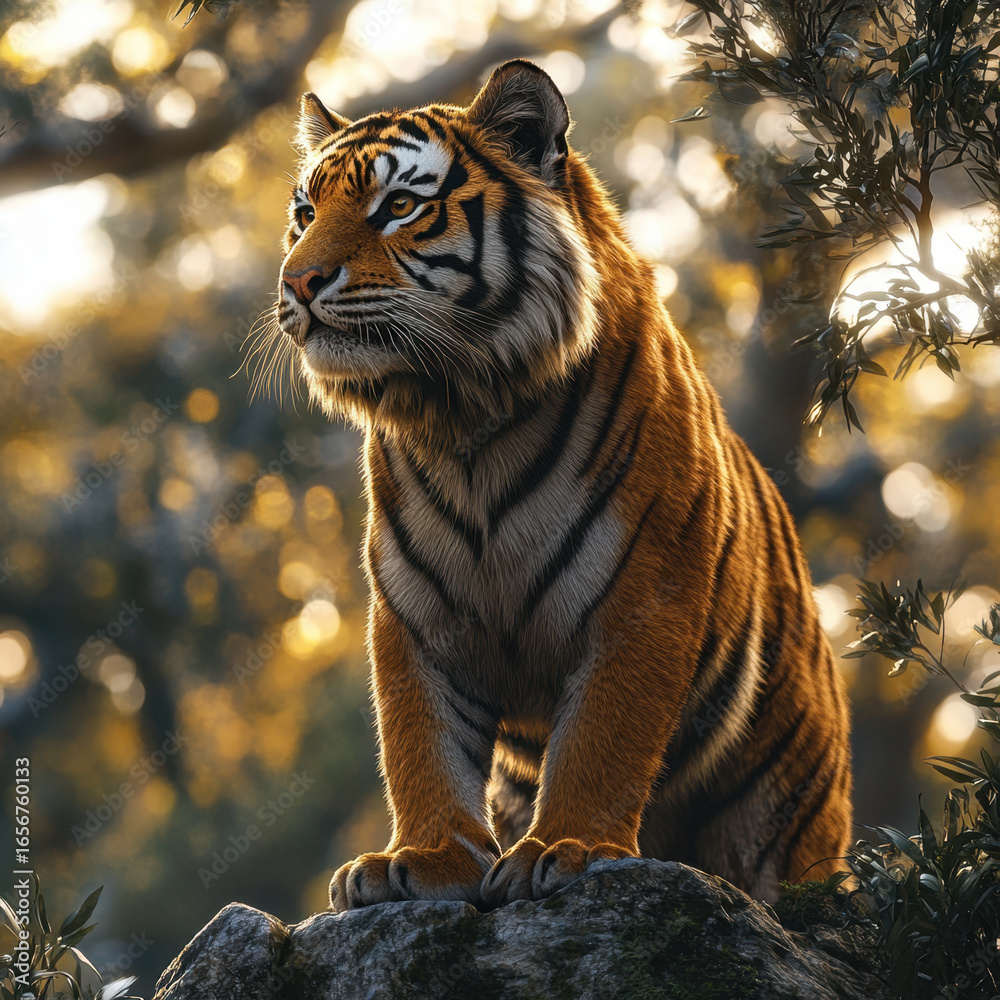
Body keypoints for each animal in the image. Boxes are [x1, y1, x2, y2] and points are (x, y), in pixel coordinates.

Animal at [272, 58, 852, 911]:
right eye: (306, 213)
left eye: (400, 207)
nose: (298, 281)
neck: (461, 421)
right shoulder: (417, 620)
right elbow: (421, 748)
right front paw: (422, 860)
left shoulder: (644, 602)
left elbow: (602, 742)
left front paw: (566, 850)